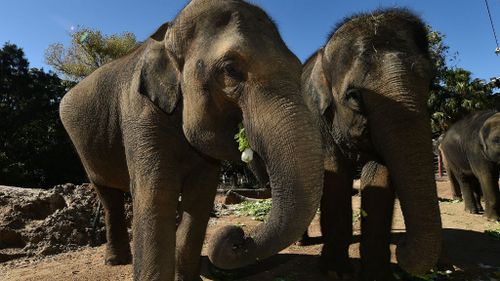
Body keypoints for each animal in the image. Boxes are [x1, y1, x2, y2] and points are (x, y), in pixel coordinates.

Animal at [58, 1, 324, 278]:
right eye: (231, 69)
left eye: (297, 68)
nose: (238, 236)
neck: (167, 36)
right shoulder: (140, 114)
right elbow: (156, 194)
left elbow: (200, 196)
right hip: (84, 149)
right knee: (108, 196)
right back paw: (115, 261)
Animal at [300, 7, 442, 278]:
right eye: (354, 96)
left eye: (430, 84)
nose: (401, 244)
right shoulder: (316, 117)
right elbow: (334, 175)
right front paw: (335, 273)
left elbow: (379, 175)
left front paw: (377, 274)